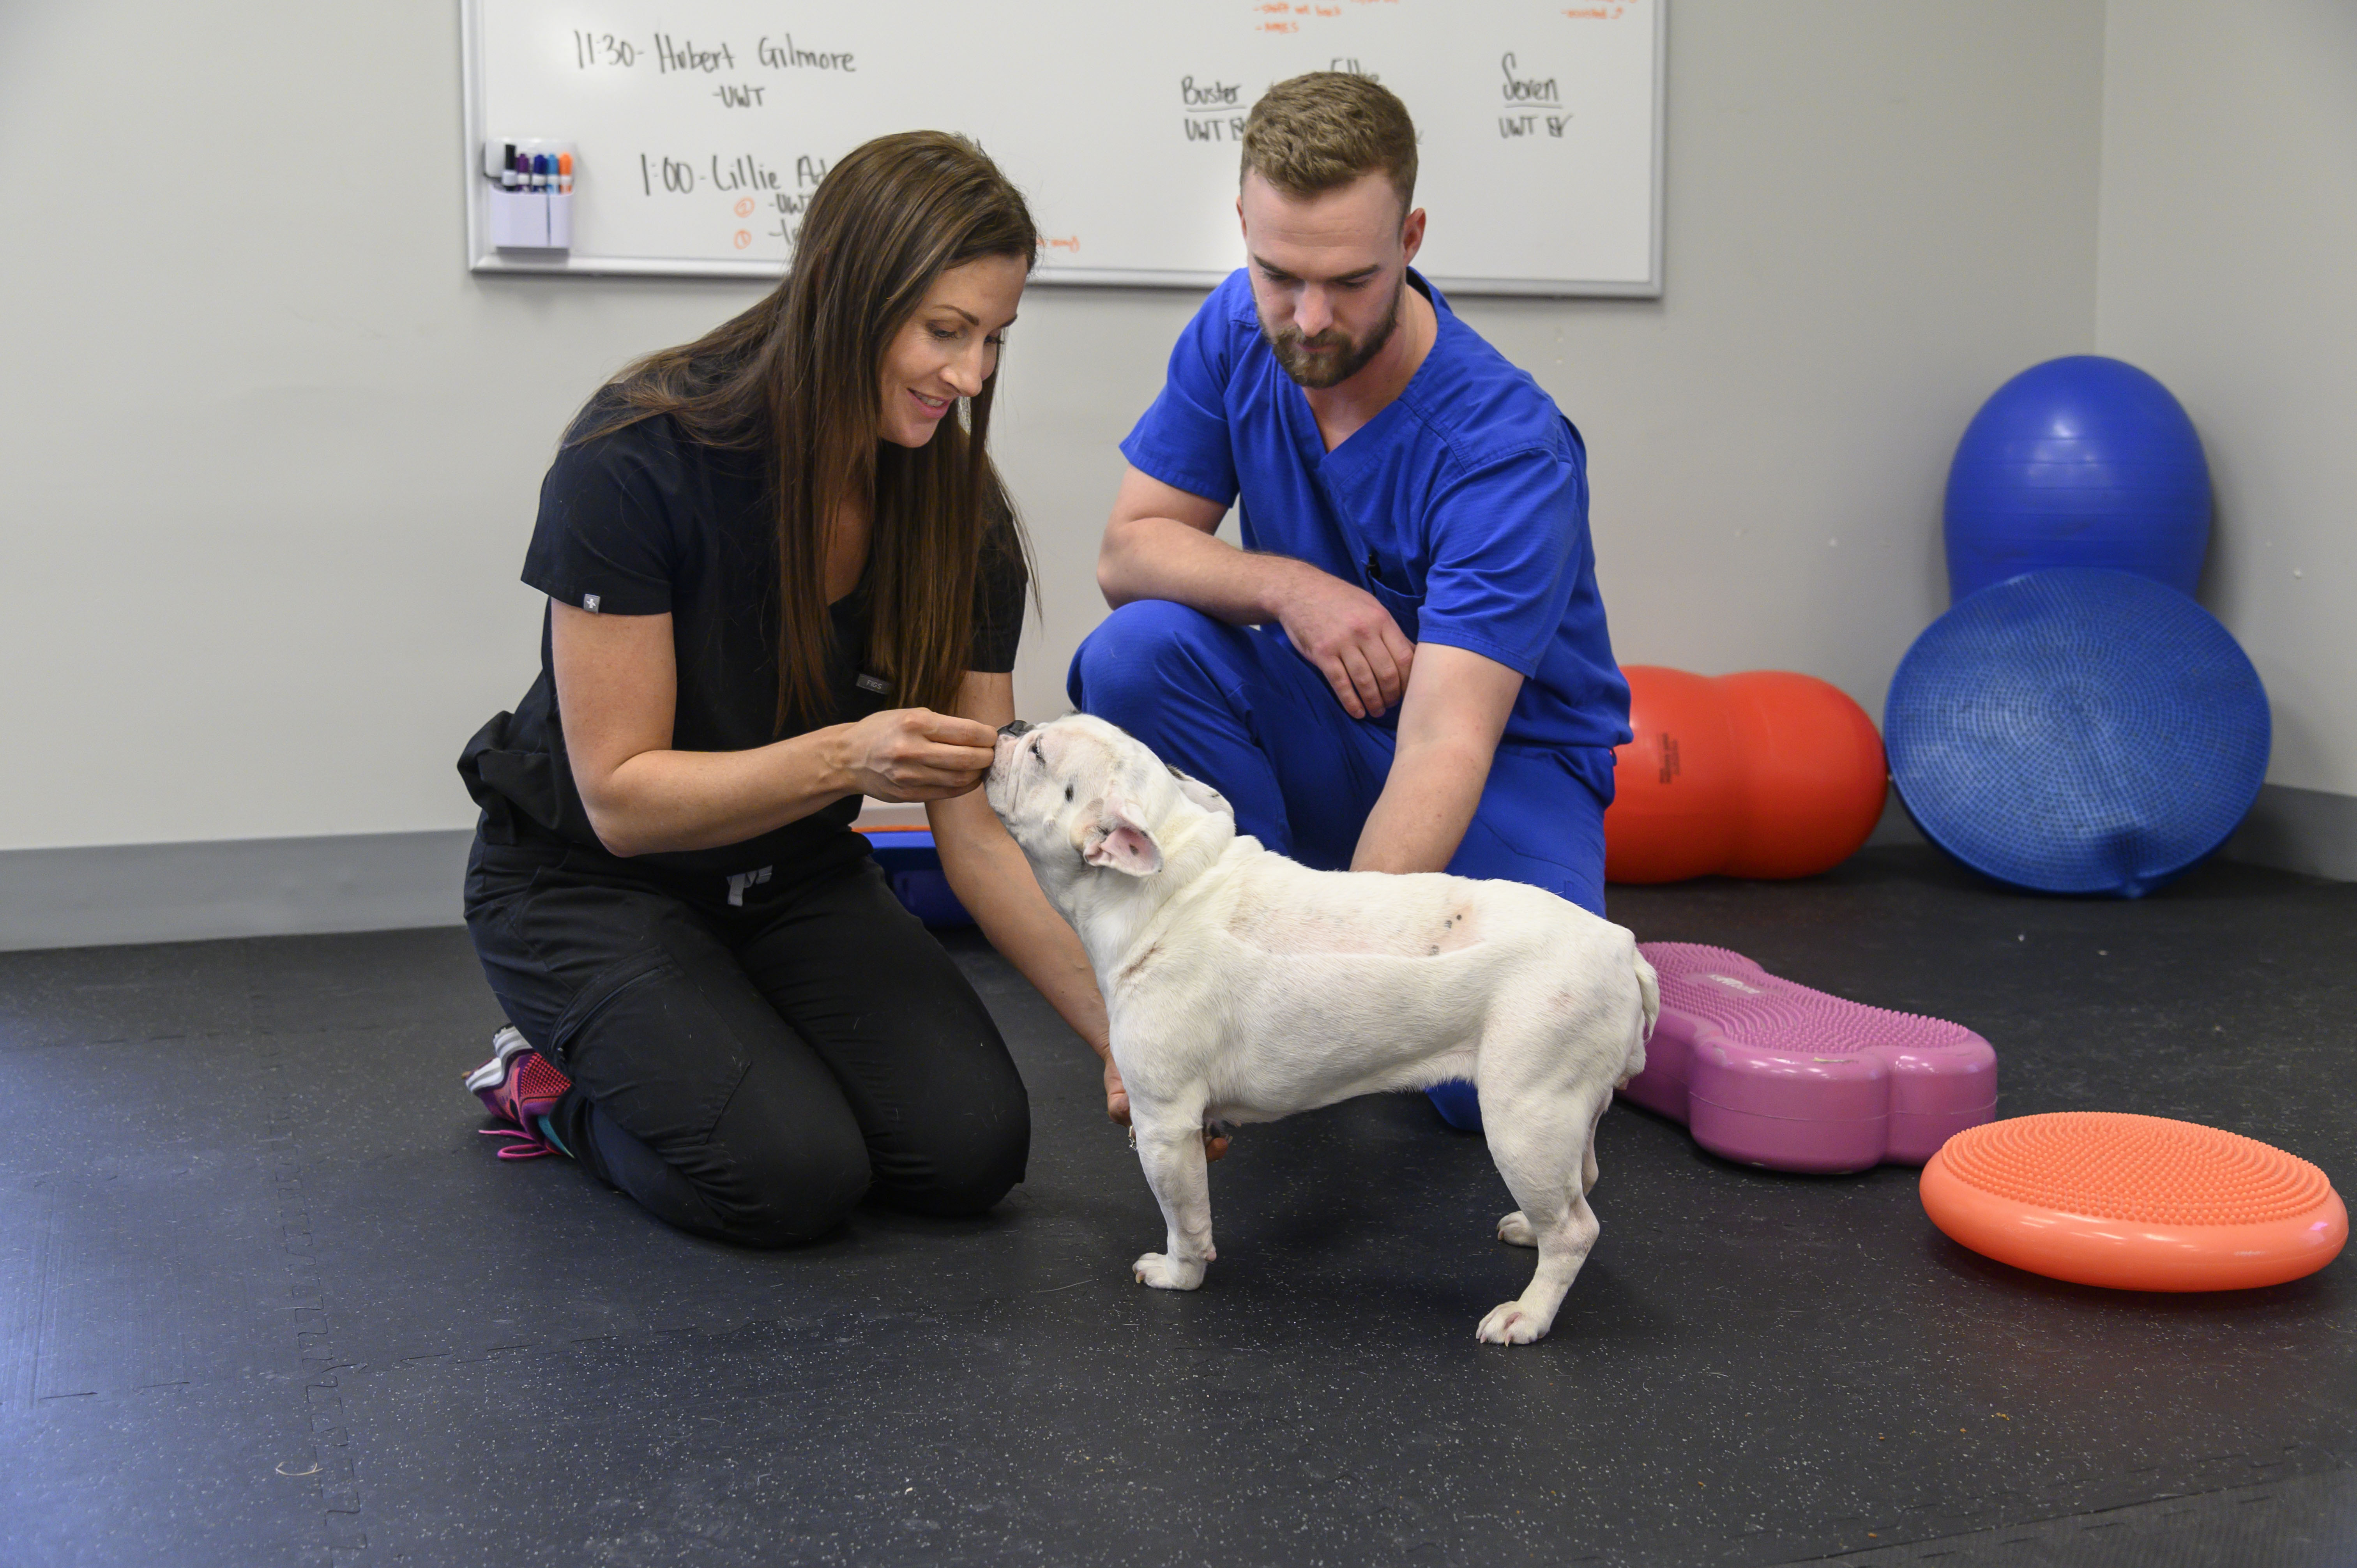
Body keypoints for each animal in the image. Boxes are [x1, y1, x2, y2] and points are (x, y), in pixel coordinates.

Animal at [980, 717, 1659, 1339]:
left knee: (1574, 1229)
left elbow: (1186, 1220)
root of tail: (1624, 949)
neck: (1167, 888)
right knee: (1580, 1182)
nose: (1012, 725)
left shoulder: (1164, 1128)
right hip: (1562, 1115)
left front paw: (1180, 1273)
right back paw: (1528, 1230)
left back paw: (1529, 1313)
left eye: (1039, 754)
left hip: (1523, 1118)